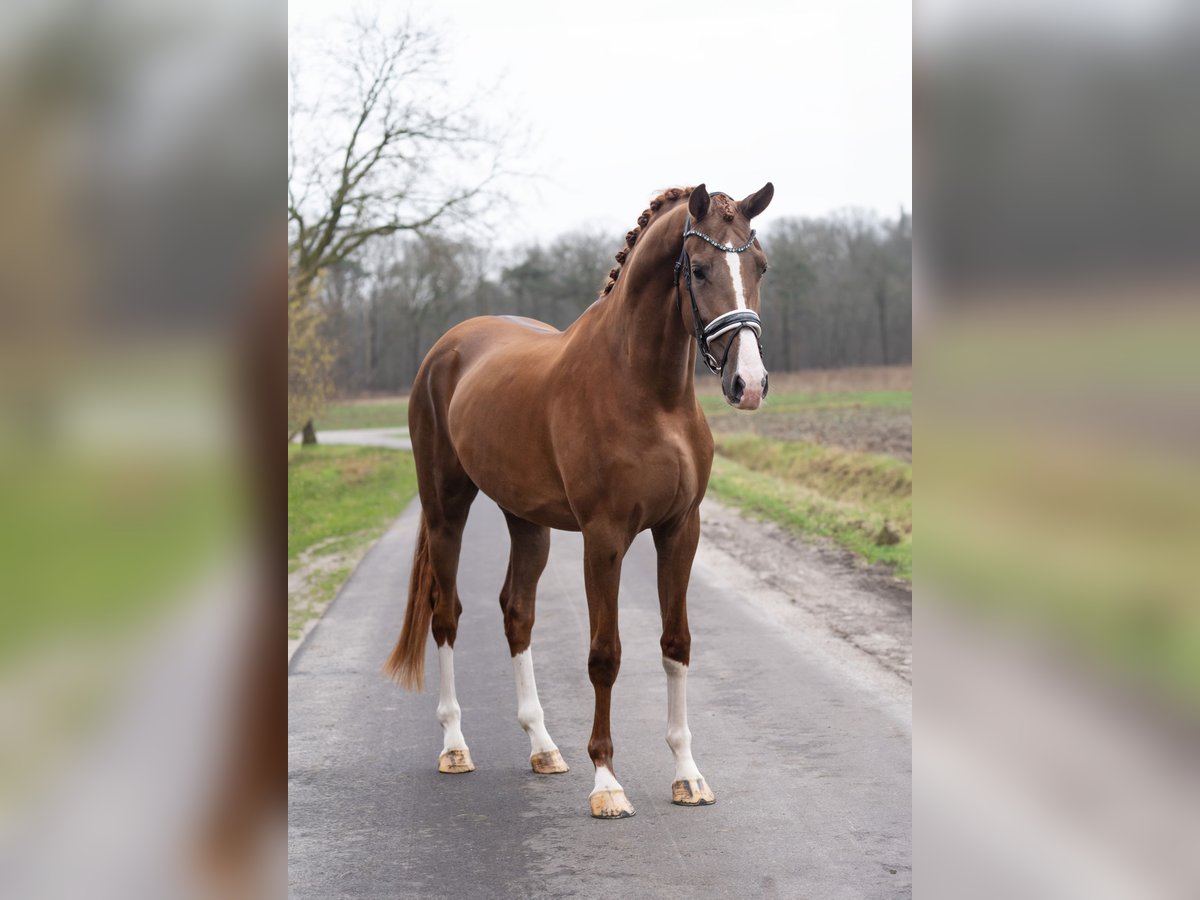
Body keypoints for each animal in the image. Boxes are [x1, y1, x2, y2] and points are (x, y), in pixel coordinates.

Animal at [388, 181, 772, 816]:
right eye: (698, 267)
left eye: (760, 265)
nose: (750, 385)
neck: (647, 393)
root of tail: (447, 348)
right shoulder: (604, 537)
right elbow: (604, 655)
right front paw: (607, 782)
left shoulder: (680, 530)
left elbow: (676, 643)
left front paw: (688, 776)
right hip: (446, 511)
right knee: (447, 615)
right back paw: (455, 747)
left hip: (527, 523)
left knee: (517, 613)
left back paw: (543, 747)